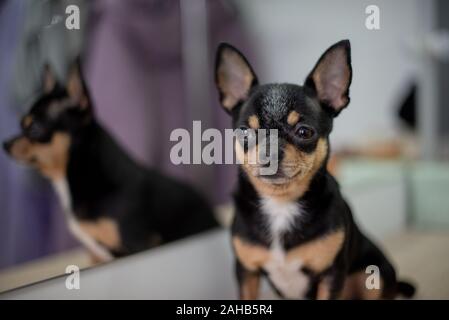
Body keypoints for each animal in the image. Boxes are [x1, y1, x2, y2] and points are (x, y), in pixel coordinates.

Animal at [214, 40, 412, 300]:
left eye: (304, 132)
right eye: (245, 132)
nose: (270, 154)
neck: (281, 204)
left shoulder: (331, 275)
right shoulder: (247, 272)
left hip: (376, 275)